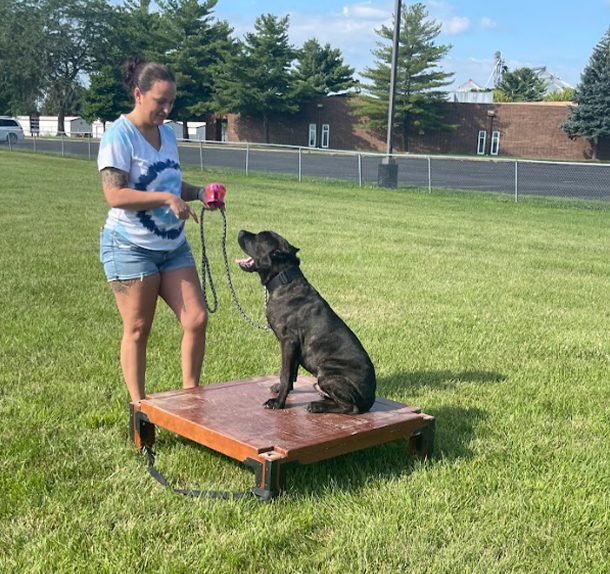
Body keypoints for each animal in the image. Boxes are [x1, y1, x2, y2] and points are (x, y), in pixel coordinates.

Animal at [235, 230, 372, 414]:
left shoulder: (288, 341)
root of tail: (371, 399)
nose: (241, 231)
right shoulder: (294, 348)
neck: (284, 279)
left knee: (352, 407)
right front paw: (281, 390)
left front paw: (278, 402)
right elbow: (292, 372)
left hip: (326, 371)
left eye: (258, 238)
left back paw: (317, 406)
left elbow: (285, 374)